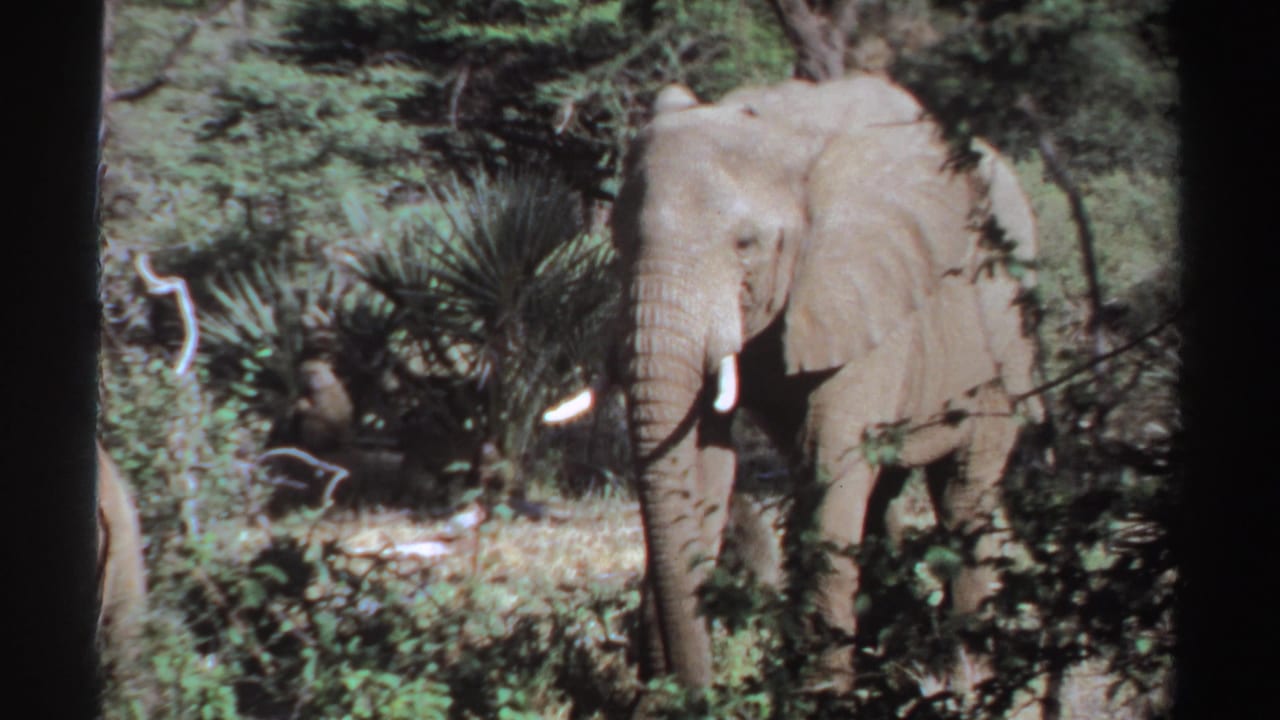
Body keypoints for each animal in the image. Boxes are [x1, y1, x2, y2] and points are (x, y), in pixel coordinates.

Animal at [612, 74, 1043, 698]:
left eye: (746, 244)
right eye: (616, 235)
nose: (686, 692)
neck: (778, 128)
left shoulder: (869, 292)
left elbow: (829, 463)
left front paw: (818, 698)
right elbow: (705, 462)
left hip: (1005, 346)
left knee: (965, 493)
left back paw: (971, 680)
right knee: (886, 495)